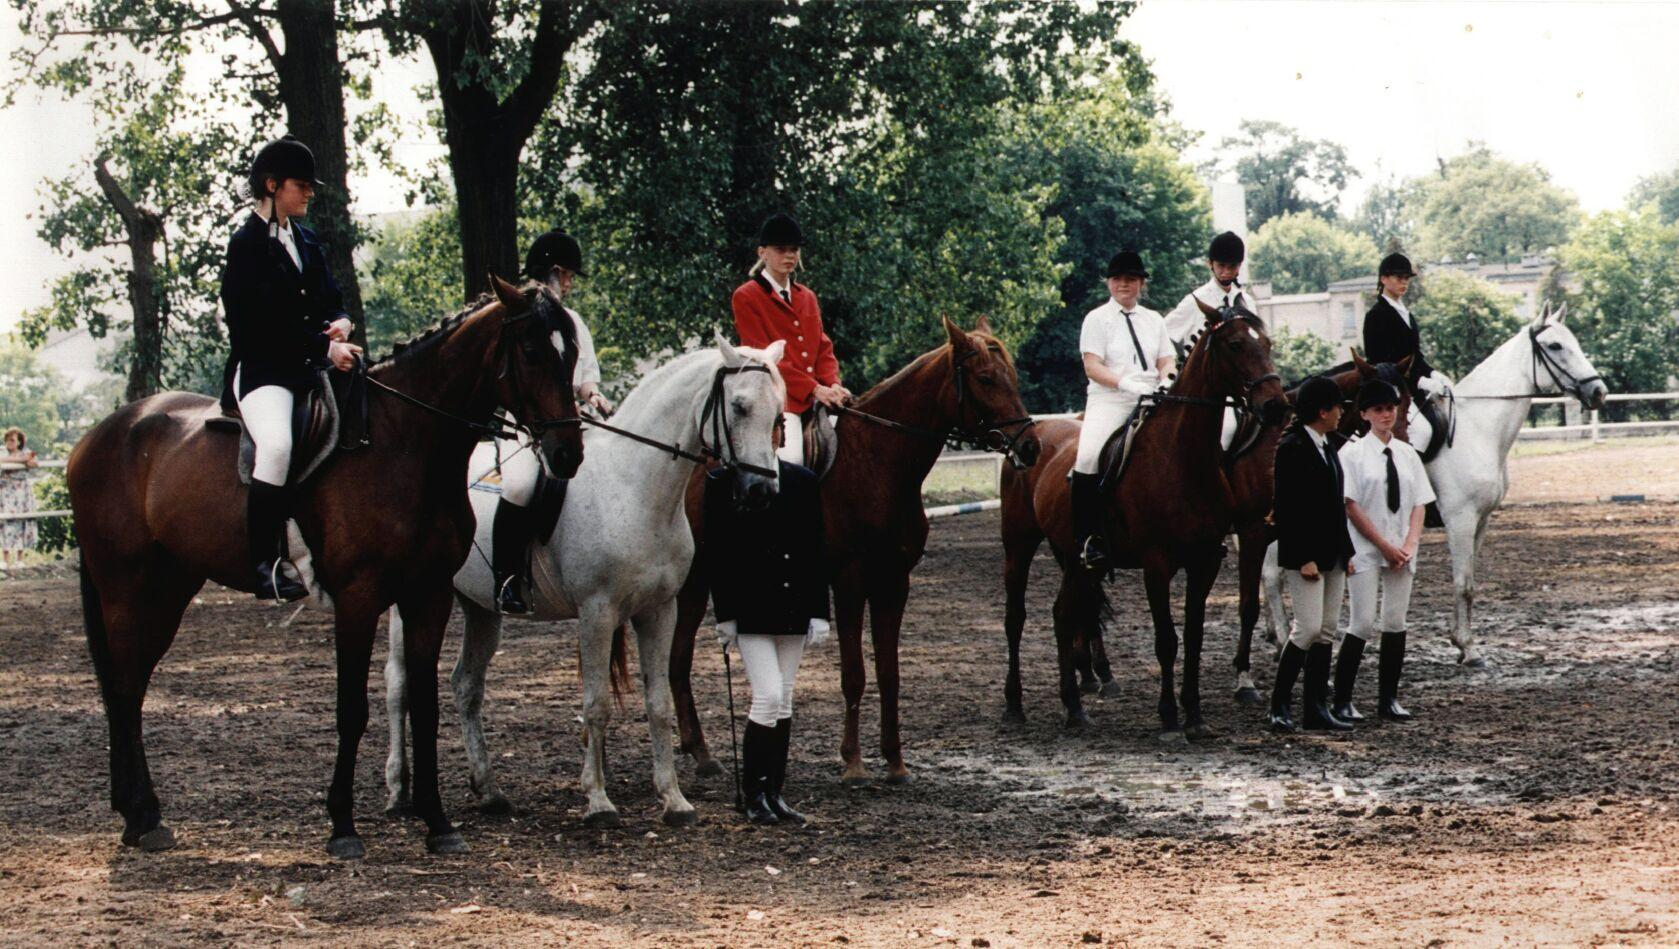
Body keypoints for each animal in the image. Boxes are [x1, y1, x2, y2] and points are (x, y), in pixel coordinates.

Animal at [68, 275, 584, 859]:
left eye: (571, 353)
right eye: (531, 351)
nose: (567, 455)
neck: (405, 441)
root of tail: (102, 433)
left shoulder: (427, 595)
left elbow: (424, 706)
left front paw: (437, 822)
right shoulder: (358, 598)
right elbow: (352, 709)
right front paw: (342, 826)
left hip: (169, 588)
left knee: (130, 686)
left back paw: (139, 814)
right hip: (125, 588)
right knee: (124, 688)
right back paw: (142, 817)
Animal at [384, 335, 789, 826]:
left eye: (779, 413)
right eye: (739, 406)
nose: (761, 491)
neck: (634, 487)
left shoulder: (659, 610)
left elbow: (658, 705)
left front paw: (673, 799)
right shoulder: (598, 612)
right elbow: (596, 705)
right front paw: (597, 800)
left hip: (481, 608)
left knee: (466, 685)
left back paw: (490, 791)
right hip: (410, 604)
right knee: (398, 685)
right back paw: (398, 791)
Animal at [668, 317, 1034, 786]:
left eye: (1013, 378)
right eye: (986, 378)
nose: (1030, 447)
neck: (878, 462)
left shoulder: (895, 582)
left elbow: (889, 673)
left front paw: (895, 762)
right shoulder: (849, 580)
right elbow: (854, 675)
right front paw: (854, 763)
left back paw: (696, 750)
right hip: (694, 582)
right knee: (677, 660)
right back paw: (701, 753)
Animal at [993, 307, 1282, 735]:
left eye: (1266, 342)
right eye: (1234, 344)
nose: (1276, 405)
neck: (1182, 458)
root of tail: (1031, 437)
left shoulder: (1205, 561)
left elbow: (1193, 636)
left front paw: (1195, 716)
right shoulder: (1157, 561)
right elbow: (1167, 640)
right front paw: (1169, 717)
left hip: (1076, 558)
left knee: (1063, 615)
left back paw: (1074, 707)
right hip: (1019, 545)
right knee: (1016, 618)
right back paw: (1015, 705)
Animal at [1262, 307, 1611, 661]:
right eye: (1555, 345)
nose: (1598, 391)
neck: (1478, 429)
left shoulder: (1481, 520)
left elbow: (1469, 580)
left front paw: (1459, 639)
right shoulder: (1460, 519)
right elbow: (1462, 584)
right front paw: (1468, 648)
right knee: (1272, 575)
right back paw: (1281, 641)